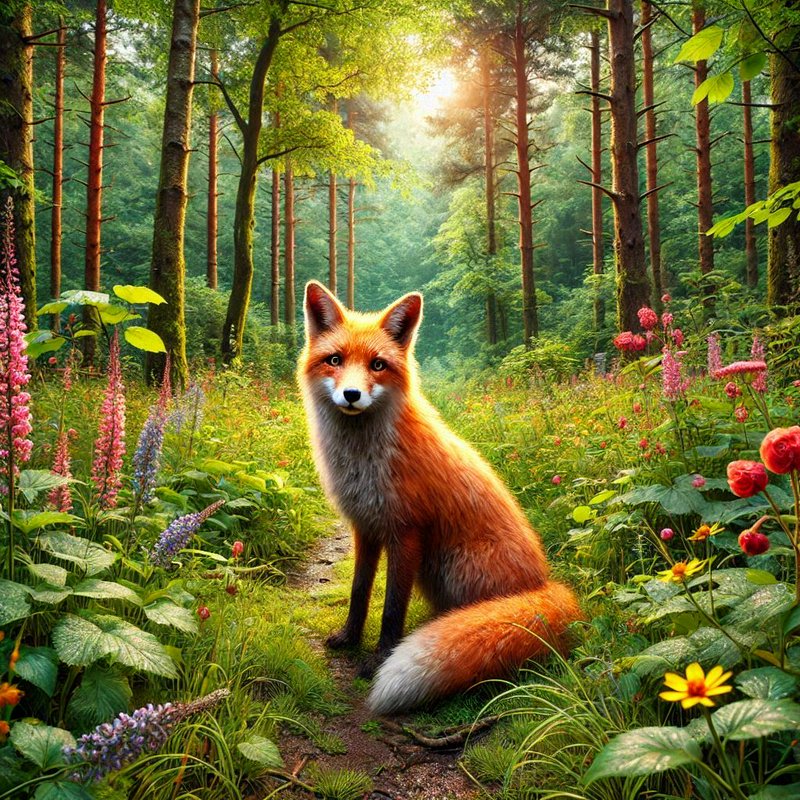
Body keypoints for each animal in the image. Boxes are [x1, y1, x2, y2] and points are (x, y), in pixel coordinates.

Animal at [298, 280, 582, 714]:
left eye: (377, 365)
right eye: (335, 360)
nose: (351, 394)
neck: (365, 461)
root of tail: (542, 585)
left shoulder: (406, 531)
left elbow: (392, 609)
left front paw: (379, 659)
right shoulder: (366, 527)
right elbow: (360, 592)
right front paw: (348, 638)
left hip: (454, 564)